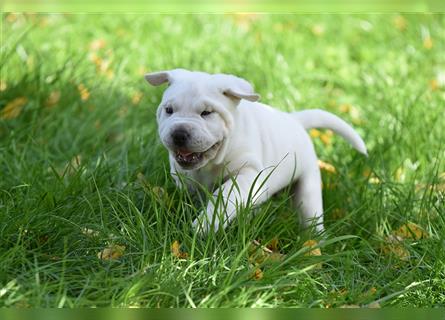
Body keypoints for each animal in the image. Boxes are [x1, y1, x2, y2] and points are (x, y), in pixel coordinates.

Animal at [144, 69, 366, 232]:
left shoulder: (248, 173)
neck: (212, 161)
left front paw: (204, 225)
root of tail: (294, 119)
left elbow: (224, 196)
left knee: (310, 215)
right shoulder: (182, 174)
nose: (179, 134)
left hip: (308, 187)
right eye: (169, 110)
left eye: (207, 113)